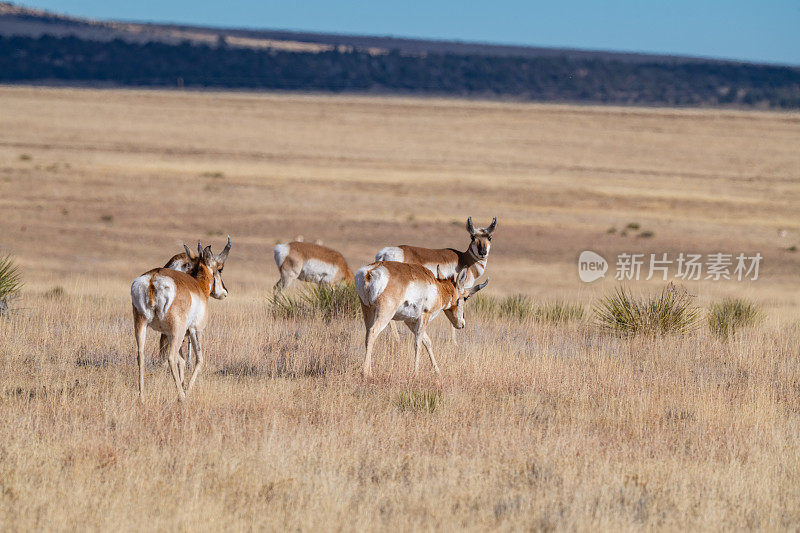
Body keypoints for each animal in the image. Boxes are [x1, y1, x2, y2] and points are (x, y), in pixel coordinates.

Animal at [131, 240, 230, 400]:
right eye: (220, 269)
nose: (224, 292)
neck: (197, 285)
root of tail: (153, 279)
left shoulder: (171, 334)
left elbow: (182, 361)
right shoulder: (196, 331)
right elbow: (199, 360)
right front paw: (187, 390)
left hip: (142, 325)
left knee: (141, 355)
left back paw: (142, 396)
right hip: (177, 331)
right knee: (171, 358)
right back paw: (181, 397)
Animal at [354, 260, 488, 376]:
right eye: (465, 298)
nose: (462, 324)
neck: (438, 288)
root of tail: (371, 271)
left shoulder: (410, 321)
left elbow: (427, 341)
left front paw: (437, 371)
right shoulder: (424, 316)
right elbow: (418, 342)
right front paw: (416, 372)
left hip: (367, 310)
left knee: (367, 334)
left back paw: (369, 370)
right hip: (385, 313)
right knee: (373, 332)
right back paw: (366, 373)